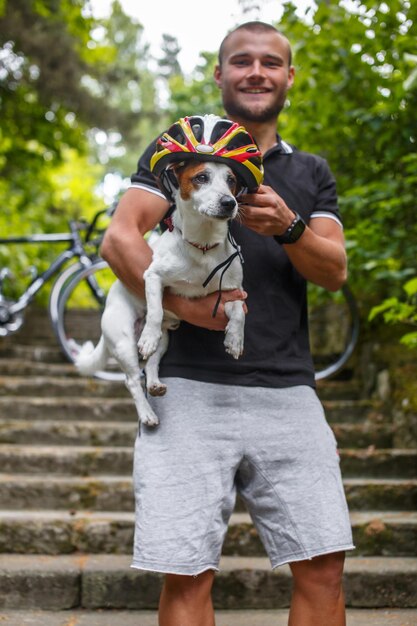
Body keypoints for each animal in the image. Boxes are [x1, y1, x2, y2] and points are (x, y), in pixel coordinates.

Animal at [75, 152, 244, 424]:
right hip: (123, 341)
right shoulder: (153, 276)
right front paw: (149, 333)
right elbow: (155, 310)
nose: (229, 202)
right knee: (132, 379)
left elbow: (238, 314)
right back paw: (146, 413)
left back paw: (154, 384)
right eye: (201, 178)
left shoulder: (233, 290)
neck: (204, 247)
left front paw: (235, 340)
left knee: (151, 365)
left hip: (165, 340)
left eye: (231, 181)